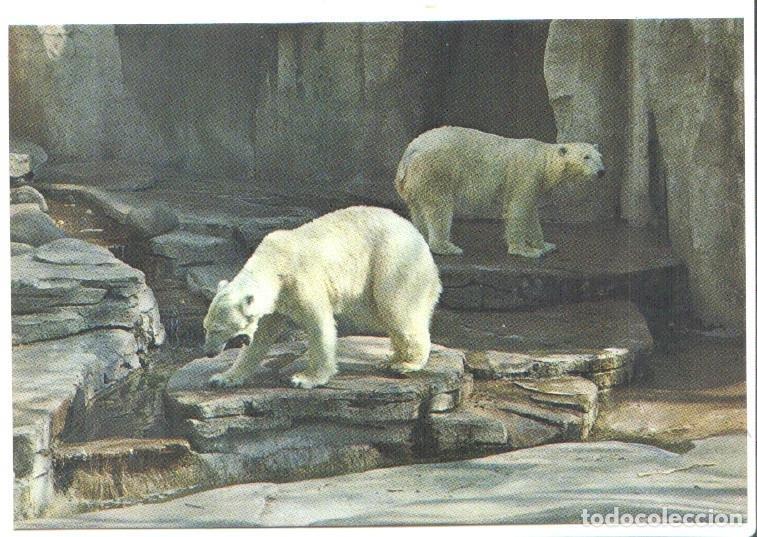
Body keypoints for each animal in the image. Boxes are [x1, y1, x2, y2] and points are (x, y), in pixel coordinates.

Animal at [202, 206, 442, 390]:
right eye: (206, 327)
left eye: (218, 329)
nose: (209, 352)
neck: (273, 263)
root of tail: (416, 233)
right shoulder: (276, 301)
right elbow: (261, 336)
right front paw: (223, 378)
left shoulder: (301, 279)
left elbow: (319, 325)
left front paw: (305, 379)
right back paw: (391, 359)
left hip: (393, 260)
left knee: (395, 308)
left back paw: (406, 363)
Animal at [394, 126, 606, 258]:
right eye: (586, 157)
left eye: (600, 157)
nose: (601, 172)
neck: (543, 160)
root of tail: (410, 152)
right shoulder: (526, 173)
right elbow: (518, 209)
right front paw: (526, 251)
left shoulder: (535, 184)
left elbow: (531, 212)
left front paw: (545, 245)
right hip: (435, 170)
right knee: (439, 208)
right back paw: (447, 247)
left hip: (414, 181)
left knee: (418, 209)